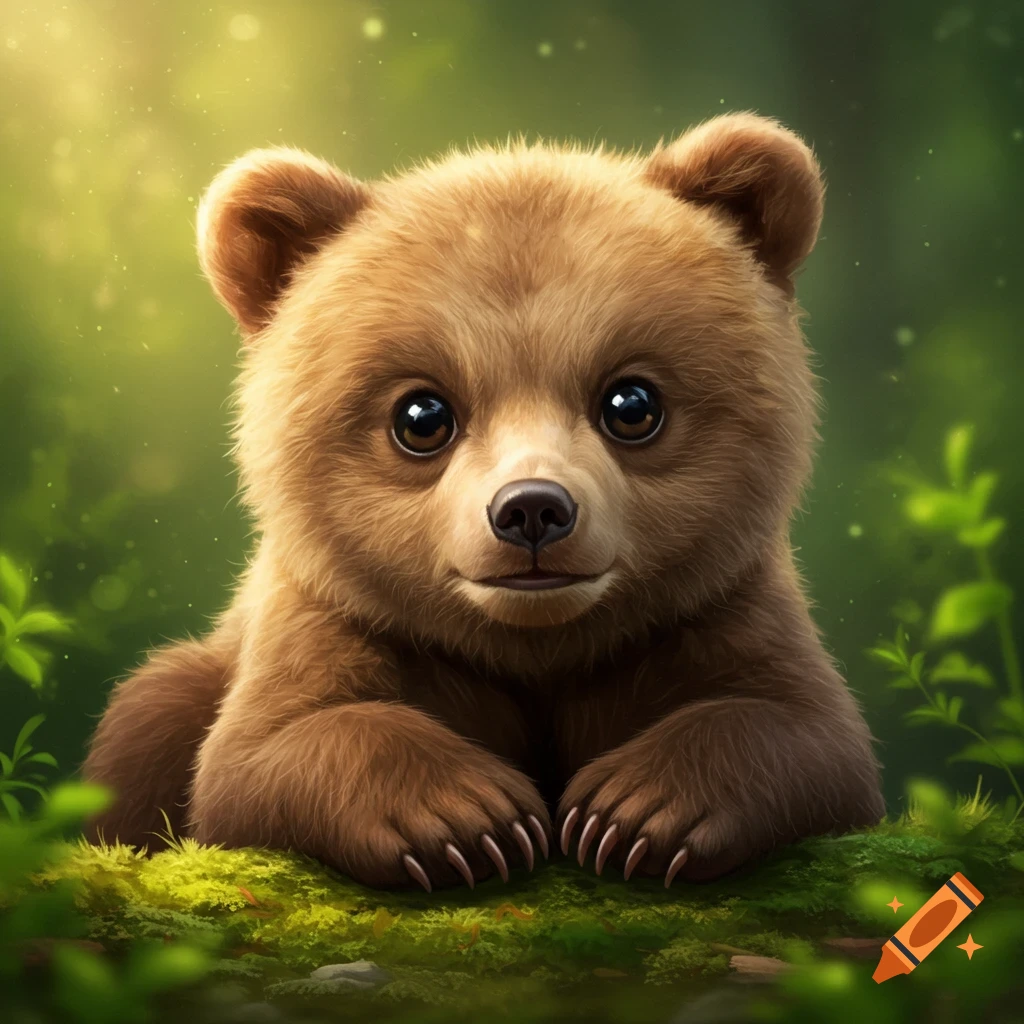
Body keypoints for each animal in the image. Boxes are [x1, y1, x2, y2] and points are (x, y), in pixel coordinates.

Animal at [82, 113, 885, 891]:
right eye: (422, 416)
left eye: (631, 403)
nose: (532, 509)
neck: (534, 649)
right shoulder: (341, 616)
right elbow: (263, 755)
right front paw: (469, 816)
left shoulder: (713, 610)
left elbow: (808, 734)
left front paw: (636, 809)